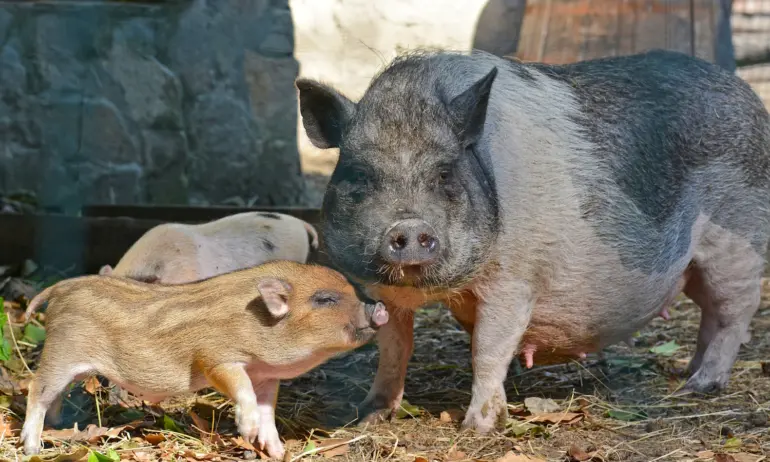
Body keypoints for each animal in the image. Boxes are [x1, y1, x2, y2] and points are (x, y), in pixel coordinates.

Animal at [292, 49, 768, 434]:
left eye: (445, 173)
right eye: (359, 175)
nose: (407, 227)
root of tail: (746, 95)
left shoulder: (514, 281)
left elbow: (487, 349)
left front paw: (478, 429)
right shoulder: (380, 291)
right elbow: (394, 349)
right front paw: (369, 416)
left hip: (738, 246)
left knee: (734, 315)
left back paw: (700, 386)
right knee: (710, 315)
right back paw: (688, 375)